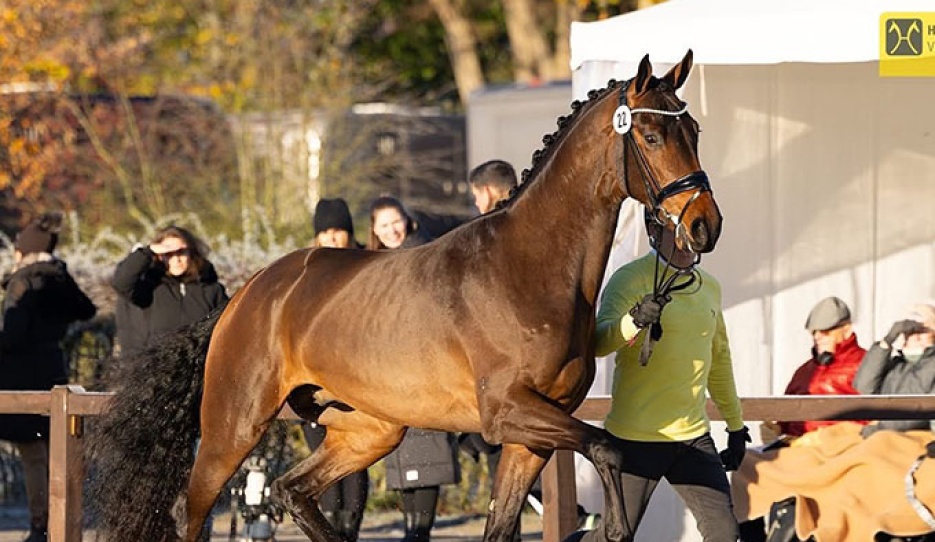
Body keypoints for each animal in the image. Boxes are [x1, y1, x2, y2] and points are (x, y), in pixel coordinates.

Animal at [88, 49, 721, 542]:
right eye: (651, 135)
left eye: (694, 132)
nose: (705, 227)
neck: (530, 269)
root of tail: (244, 295)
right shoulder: (507, 414)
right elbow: (609, 448)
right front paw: (612, 526)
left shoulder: (532, 436)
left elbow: (504, 523)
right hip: (234, 426)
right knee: (192, 510)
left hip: (368, 430)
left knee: (295, 493)